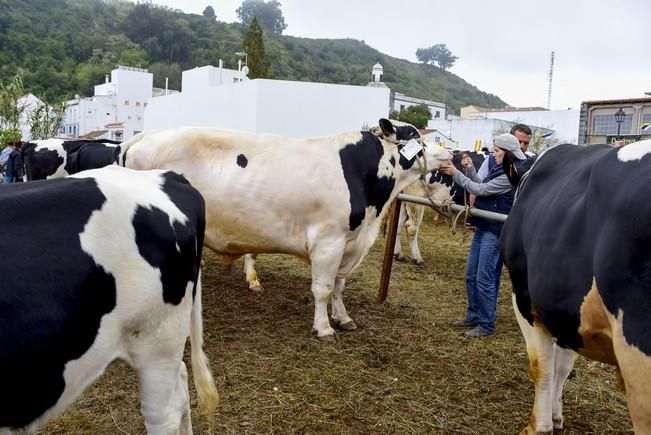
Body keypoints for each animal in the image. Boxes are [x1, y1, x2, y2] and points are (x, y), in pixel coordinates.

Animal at [119, 118, 450, 340]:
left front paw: (343, 318)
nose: (450, 155)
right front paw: (324, 327)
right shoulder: (329, 242)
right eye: (414, 136)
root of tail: (143, 137)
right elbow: (323, 288)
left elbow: (339, 286)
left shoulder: (350, 244)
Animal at [500, 142, 651, 432]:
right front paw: (556, 416)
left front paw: (539, 426)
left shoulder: (524, 298)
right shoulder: (567, 312)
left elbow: (542, 365)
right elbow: (562, 367)